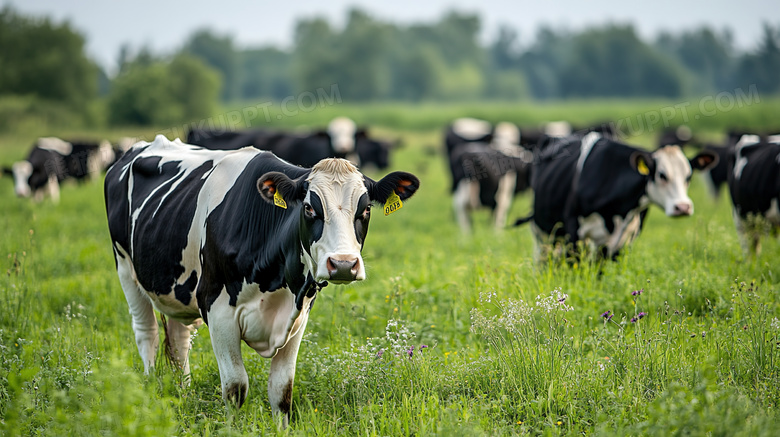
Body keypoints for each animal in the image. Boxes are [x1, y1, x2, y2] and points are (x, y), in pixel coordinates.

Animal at [106, 135, 420, 426]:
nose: (343, 264)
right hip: (125, 269)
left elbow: (282, 390)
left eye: (365, 210)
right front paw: (232, 428)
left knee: (179, 339)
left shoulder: (298, 315)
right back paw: (149, 388)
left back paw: (184, 393)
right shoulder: (217, 310)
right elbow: (235, 387)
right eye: (309, 208)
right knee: (147, 333)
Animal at [516, 132, 716, 258]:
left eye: (688, 177)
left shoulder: (624, 240)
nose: (683, 207)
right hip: (543, 233)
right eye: (662, 175)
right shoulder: (573, 230)